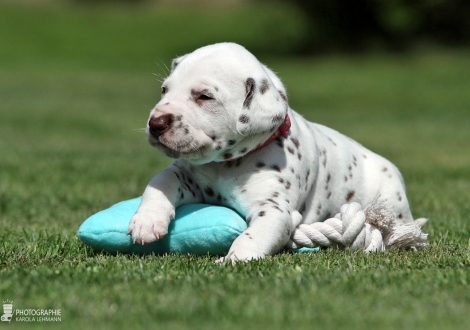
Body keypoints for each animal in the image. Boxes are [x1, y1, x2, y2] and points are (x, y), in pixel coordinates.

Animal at [127, 42, 418, 262]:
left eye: (204, 96)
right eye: (164, 90)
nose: (155, 123)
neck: (225, 165)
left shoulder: (274, 210)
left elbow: (251, 236)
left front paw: (234, 259)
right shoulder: (189, 176)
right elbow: (161, 181)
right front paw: (147, 221)